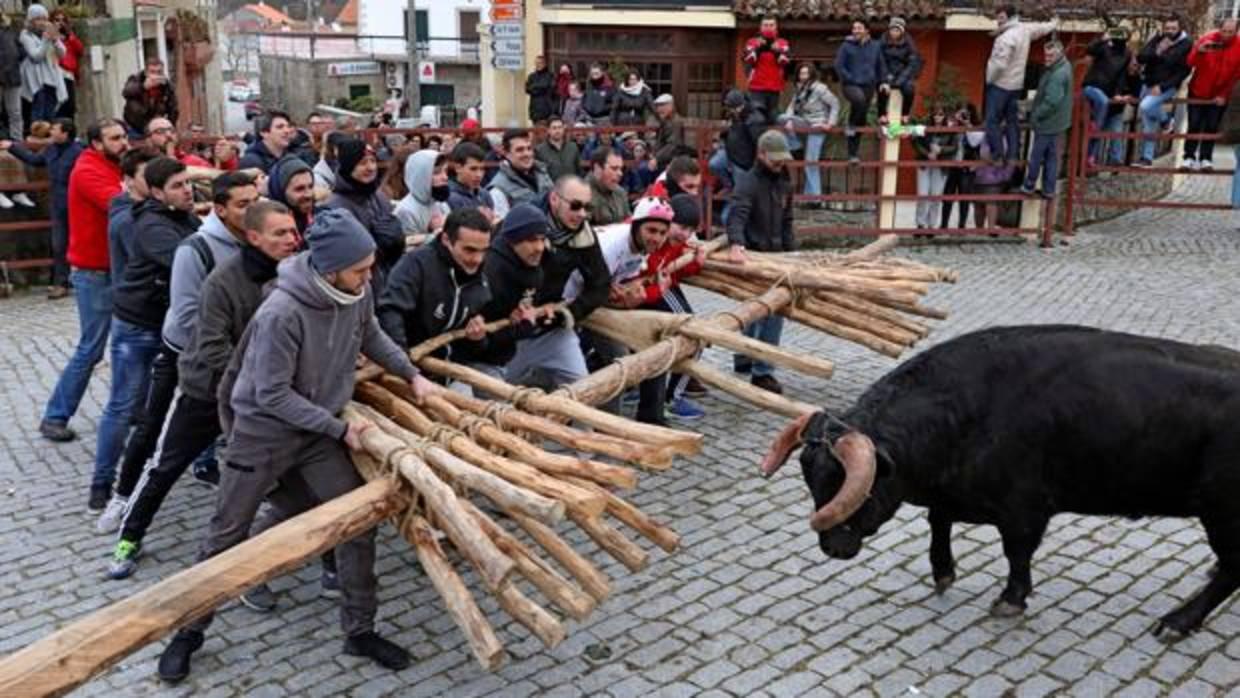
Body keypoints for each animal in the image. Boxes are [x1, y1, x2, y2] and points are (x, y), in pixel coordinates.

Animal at [763, 324, 1240, 639]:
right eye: (810, 477)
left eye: (850, 482)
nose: (832, 547)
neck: (968, 410)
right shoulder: (955, 495)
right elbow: (938, 521)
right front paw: (943, 571)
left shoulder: (1024, 509)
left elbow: (1017, 553)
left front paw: (1010, 599)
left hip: (1221, 512)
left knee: (1233, 569)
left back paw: (1179, 621)